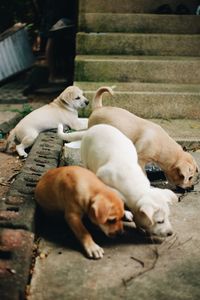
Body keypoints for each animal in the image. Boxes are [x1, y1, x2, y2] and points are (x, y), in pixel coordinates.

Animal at [57, 86, 198, 190]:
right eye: (189, 177)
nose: (191, 188)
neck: (163, 146)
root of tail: (98, 108)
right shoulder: (140, 159)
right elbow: (143, 174)